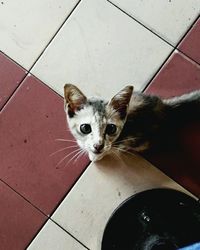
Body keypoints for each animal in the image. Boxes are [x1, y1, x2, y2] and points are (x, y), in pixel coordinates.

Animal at [63, 84, 200, 162]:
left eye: (111, 129)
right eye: (85, 128)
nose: (98, 146)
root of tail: (164, 106)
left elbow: (108, 150)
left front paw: (95, 157)